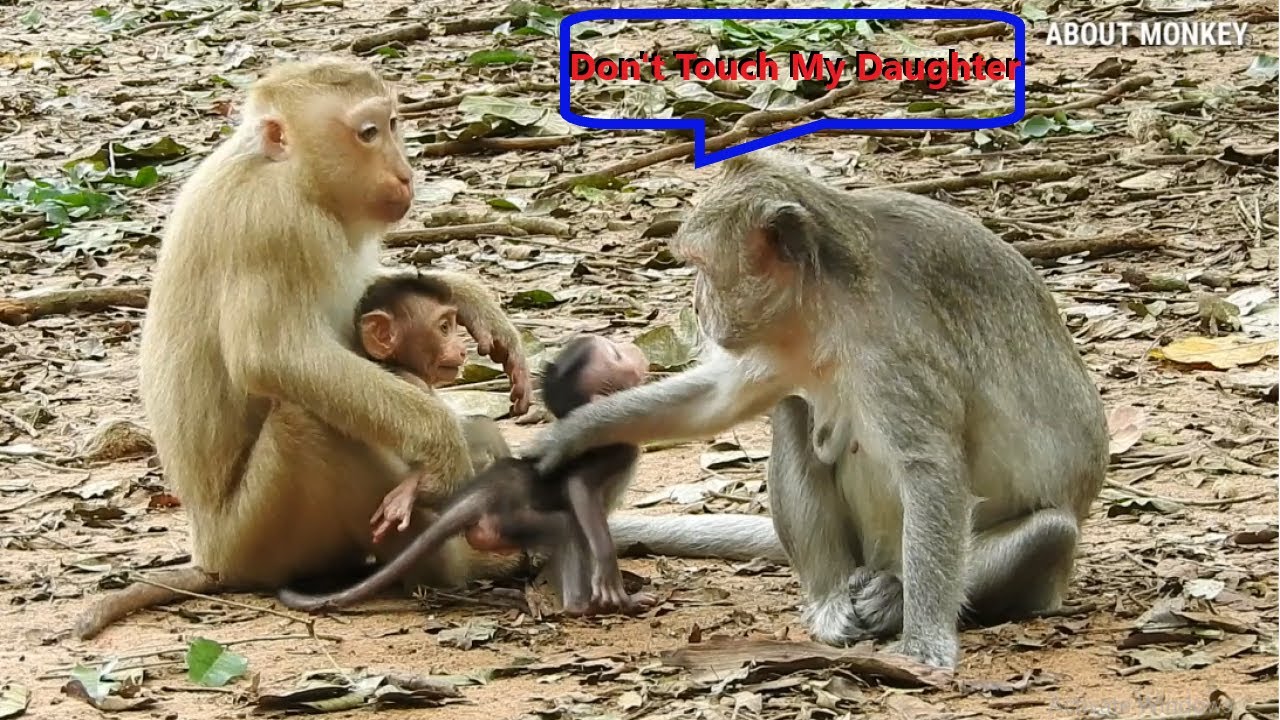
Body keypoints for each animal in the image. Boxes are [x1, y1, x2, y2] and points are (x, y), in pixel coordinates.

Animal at [74, 58, 533, 641]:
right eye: (367, 133)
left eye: (393, 124)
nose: (404, 173)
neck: (288, 172)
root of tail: (210, 557)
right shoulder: (273, 224)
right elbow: (273, 356)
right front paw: (443, 447)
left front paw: (470, 299)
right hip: (261, 532)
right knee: (307, 416)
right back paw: (455, 565)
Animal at [278, 335, 656, 616]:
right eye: (615, 354)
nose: (631, 347)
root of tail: (484, 492)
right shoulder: (615, 444)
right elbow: (579, 488)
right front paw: (609, 577)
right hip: (507, 521)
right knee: (564, 525)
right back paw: (582, 606)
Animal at [527, 151, 1108, 670]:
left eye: (702, 268)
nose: (695, 304)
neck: (826, 298)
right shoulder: (784, 339)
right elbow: (719, 399)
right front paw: (573, 435)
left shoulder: (889, 347)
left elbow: (931, 469)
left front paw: (924, 643)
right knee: (794, 412)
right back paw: (831, 601)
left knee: (1050, 533)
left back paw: (893, 596)